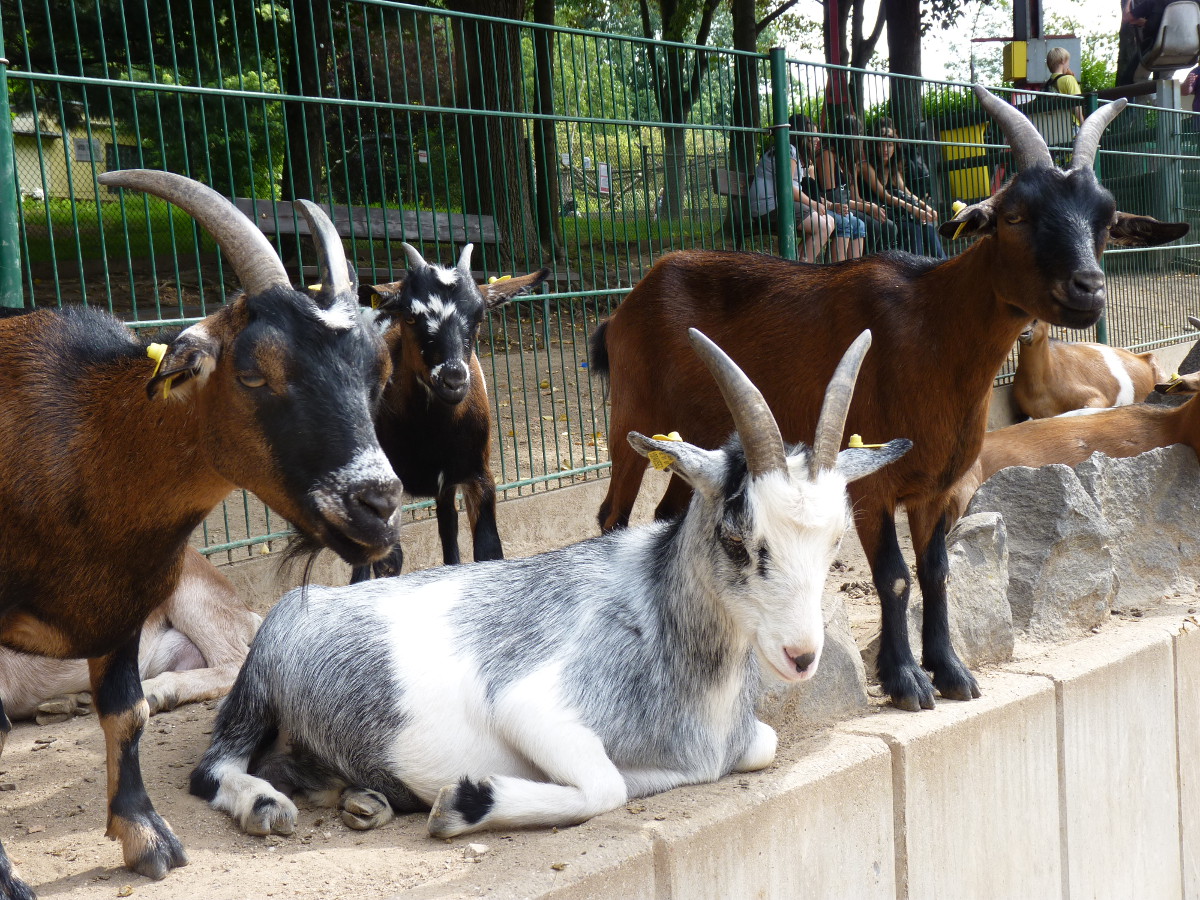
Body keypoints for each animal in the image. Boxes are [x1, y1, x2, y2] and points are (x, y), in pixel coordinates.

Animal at [0, 170, 403, 900]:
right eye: (253, 372)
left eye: (377, 374)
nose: (379, 505)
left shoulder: (124, 603)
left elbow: (127, 712)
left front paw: (146, 840)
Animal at [189, 328, 907, 840]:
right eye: (736, 536)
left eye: (835, 539)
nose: (801, 656)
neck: (658, 617)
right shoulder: (531, 705)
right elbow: (605, 788)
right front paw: (462, 801)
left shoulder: (742, 742)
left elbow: (758, 744)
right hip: (255, 690)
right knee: (213, 766)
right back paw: (265, 805)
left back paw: (361, 800)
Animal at [350, 244, 549, 585]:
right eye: (410, 316)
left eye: (480, 315)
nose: (453, 378)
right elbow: (381, 563)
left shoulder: (478, 474)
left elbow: (487, 549)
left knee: (447, 524)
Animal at [585, 88, 1185, 715]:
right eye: (1014, 216)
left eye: (1107, 219)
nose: (1087, 289)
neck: (932, 330)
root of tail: (627, 303)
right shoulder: (870, 484)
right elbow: (895, 576)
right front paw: (905, 681)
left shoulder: (939, 485)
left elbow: (937, 570)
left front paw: (952, 671)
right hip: (631, 419)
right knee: (612, 515)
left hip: (695, 442)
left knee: (666, 513)